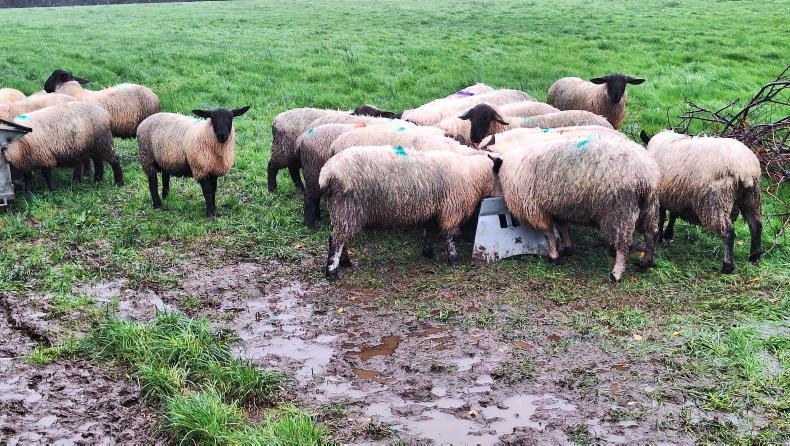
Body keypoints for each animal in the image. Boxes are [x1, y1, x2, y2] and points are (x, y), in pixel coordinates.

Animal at [319, 146, 501, 279]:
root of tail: (328, 173)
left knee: (340, 237)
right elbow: (450, 236)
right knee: (336, 240)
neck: (472, 173)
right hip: (348, 207)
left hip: (342, 210)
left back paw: (345, 262)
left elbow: (429, 231)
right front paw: (453, 259)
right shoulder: (451, 210)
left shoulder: (433, 210)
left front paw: (428, 252)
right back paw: (332, 272)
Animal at [497, 134, 660, 282]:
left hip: (620, 209)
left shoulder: (536, 209)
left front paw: (553, 256)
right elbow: (563, 228)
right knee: (650, 234)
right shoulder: (558, 207)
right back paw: (646, 262)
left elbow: (548, 233)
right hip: (649, 206)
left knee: (624, 245)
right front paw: (568, 248)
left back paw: (616, 274)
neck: (511, 168)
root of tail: (646, 174)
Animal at [640, 130, 762, 273]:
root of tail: (745, 170)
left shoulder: (661, 196)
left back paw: (727, 266)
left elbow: (662, 217)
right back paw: (754, 257)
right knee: (756, 226)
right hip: (751, 198)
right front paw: (668, 233)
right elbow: (673, 215)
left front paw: (660, 236)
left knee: (729, 232)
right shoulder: (675, 194)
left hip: (717, 201)